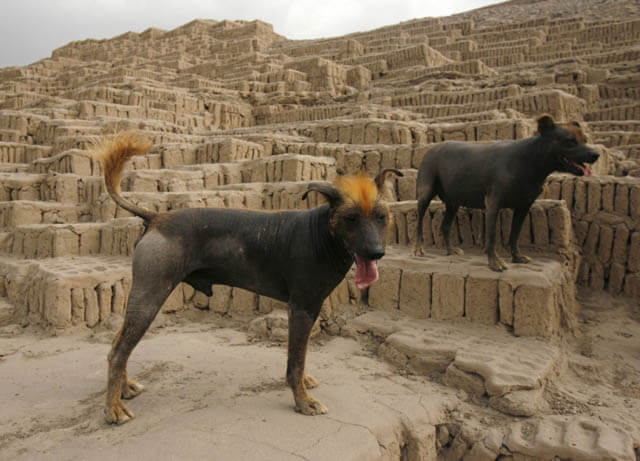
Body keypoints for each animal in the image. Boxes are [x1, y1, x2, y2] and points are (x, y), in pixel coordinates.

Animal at [93, 131, 400, 422]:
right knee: (118, 351)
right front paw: (302, 401)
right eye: (351, 218)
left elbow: (301, 355)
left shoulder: (308, 311)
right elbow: (295, 361)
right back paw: (113, 408)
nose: (376, 252)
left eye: (381, 217)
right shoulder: (301, 309)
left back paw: (124, 389)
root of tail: (156, 217)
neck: (323, 235)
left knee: (116, 345)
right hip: (149, 298)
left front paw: (304, 384)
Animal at [416, 115, 600, 272]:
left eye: (585, 140)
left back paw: (450, 250)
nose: (595, 154)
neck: (529, 161)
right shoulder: (493, 203)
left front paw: (517, 257)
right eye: (570, 142)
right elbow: (492, 237)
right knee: (419, 223)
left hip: (453, 203)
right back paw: (418, 249)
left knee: (445, 226)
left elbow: (514, 235)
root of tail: (431, 149)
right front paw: (494, 262)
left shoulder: (523, 207)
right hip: (425, 193)